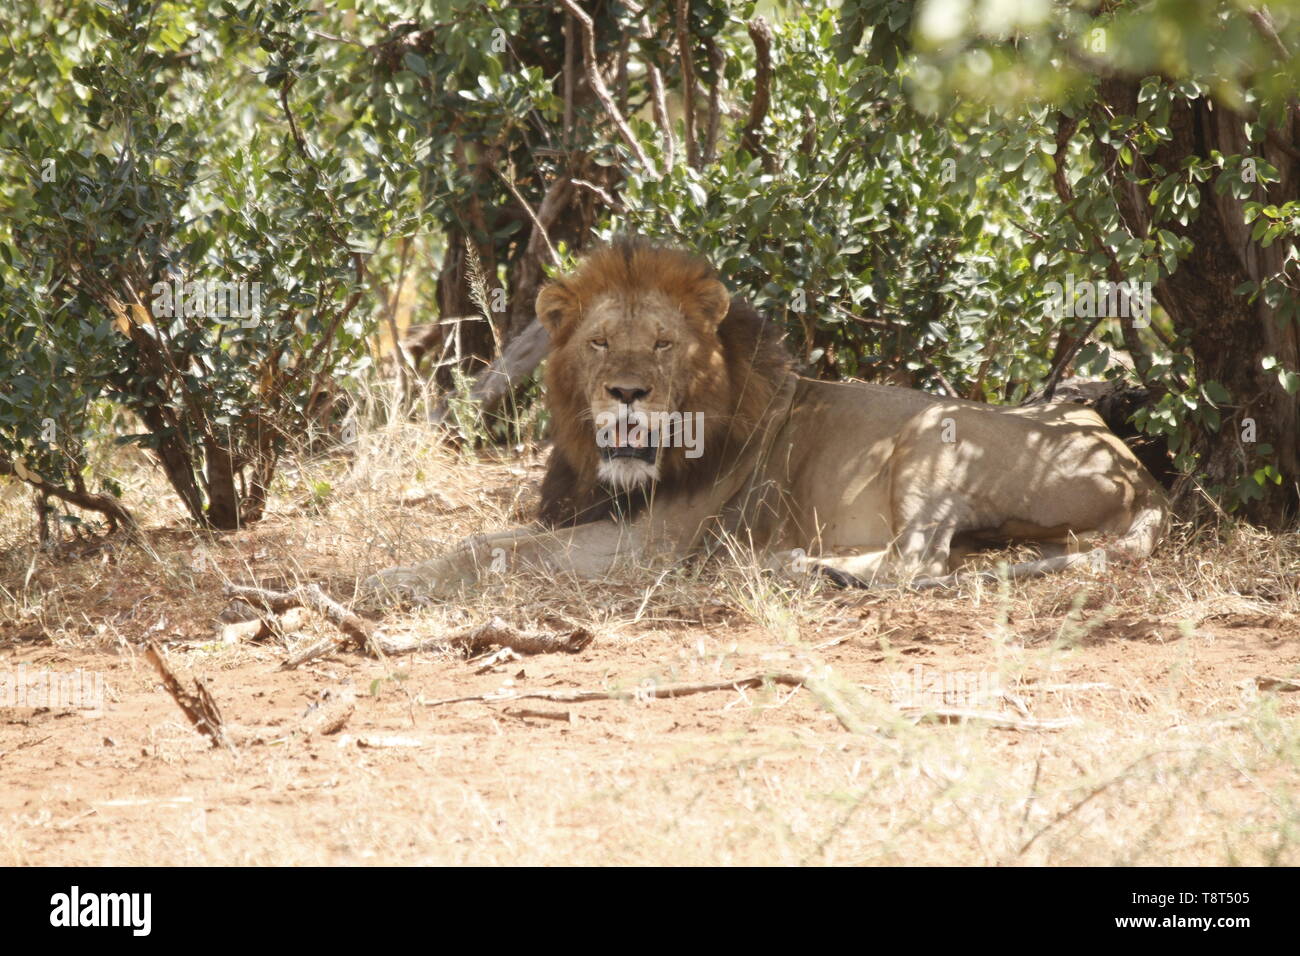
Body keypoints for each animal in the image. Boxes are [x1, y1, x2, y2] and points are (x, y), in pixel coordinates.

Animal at [365, 239, 1167, 601]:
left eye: (663, 343)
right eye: (599, 343)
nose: (627, 392)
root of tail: (1139, 470)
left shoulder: (651, 544)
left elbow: (489, 552)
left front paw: (388, 579)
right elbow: (487, 538)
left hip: (931, 435)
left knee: (918, 562)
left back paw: (794, 565)